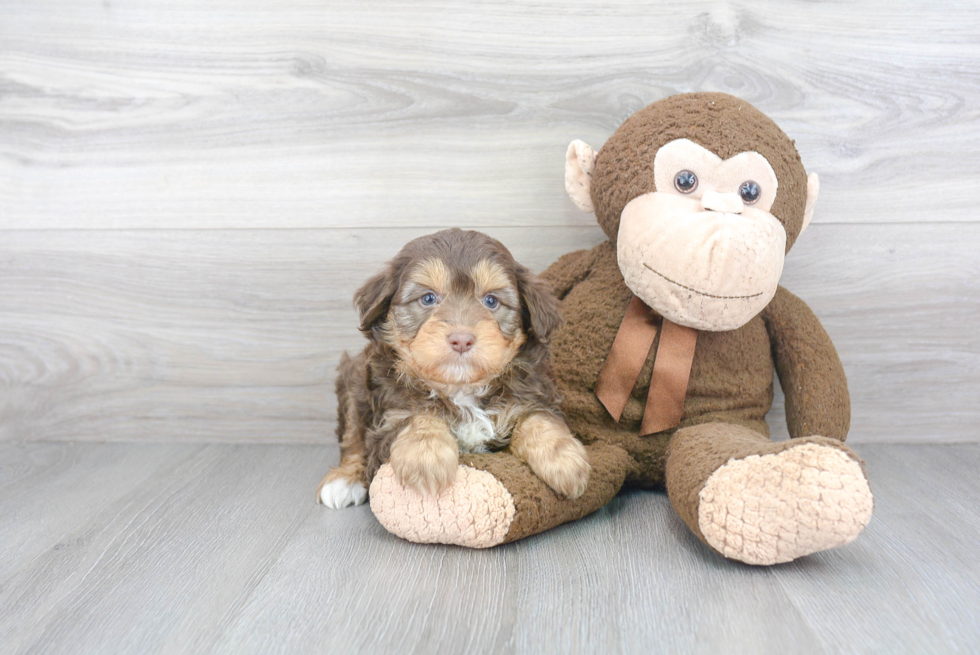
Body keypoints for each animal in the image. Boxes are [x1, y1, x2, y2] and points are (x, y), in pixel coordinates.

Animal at [318, 228, 588, 510]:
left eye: (491, 301)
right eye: (428, 298)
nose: (461, 339)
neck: (460, 387)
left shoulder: (534, 393)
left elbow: (537, 418)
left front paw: (565, 461)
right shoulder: (388, 412)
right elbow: (418, 414)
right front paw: (425, 459)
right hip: (356, 379)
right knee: (353, 435)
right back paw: (344, 480)